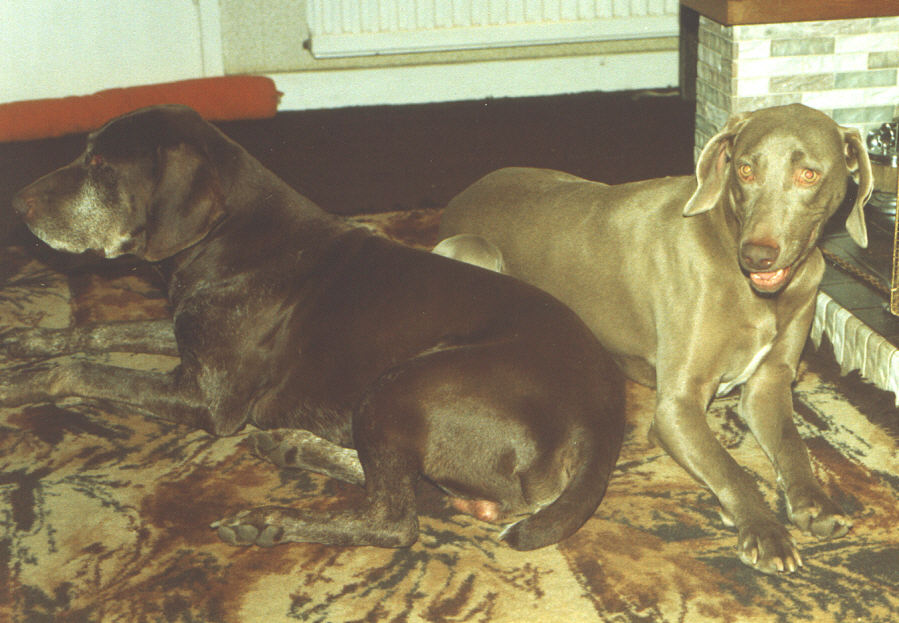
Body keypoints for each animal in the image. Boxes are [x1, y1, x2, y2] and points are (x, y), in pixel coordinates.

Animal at [3, 106, 624, 552]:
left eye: (101, 167)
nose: (17, 202)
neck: (231, 239)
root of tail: (600, 417)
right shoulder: (188, 341)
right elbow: (100, 332)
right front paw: (25, 342)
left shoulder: (208, 399)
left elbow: (80, 370)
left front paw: (22, 380)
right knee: (406, 487)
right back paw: (292, 446)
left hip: (400, 385)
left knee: (396, 519)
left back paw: (273, 519)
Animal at [440, 103, 876, 576]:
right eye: (744, 169)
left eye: (808, 174)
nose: (757, 255)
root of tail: (460, 197)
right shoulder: (676, 407)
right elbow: (732, 468)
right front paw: (763, 529)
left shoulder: (770, 383)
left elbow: (794, 445)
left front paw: (816, 502)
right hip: (478, 250)